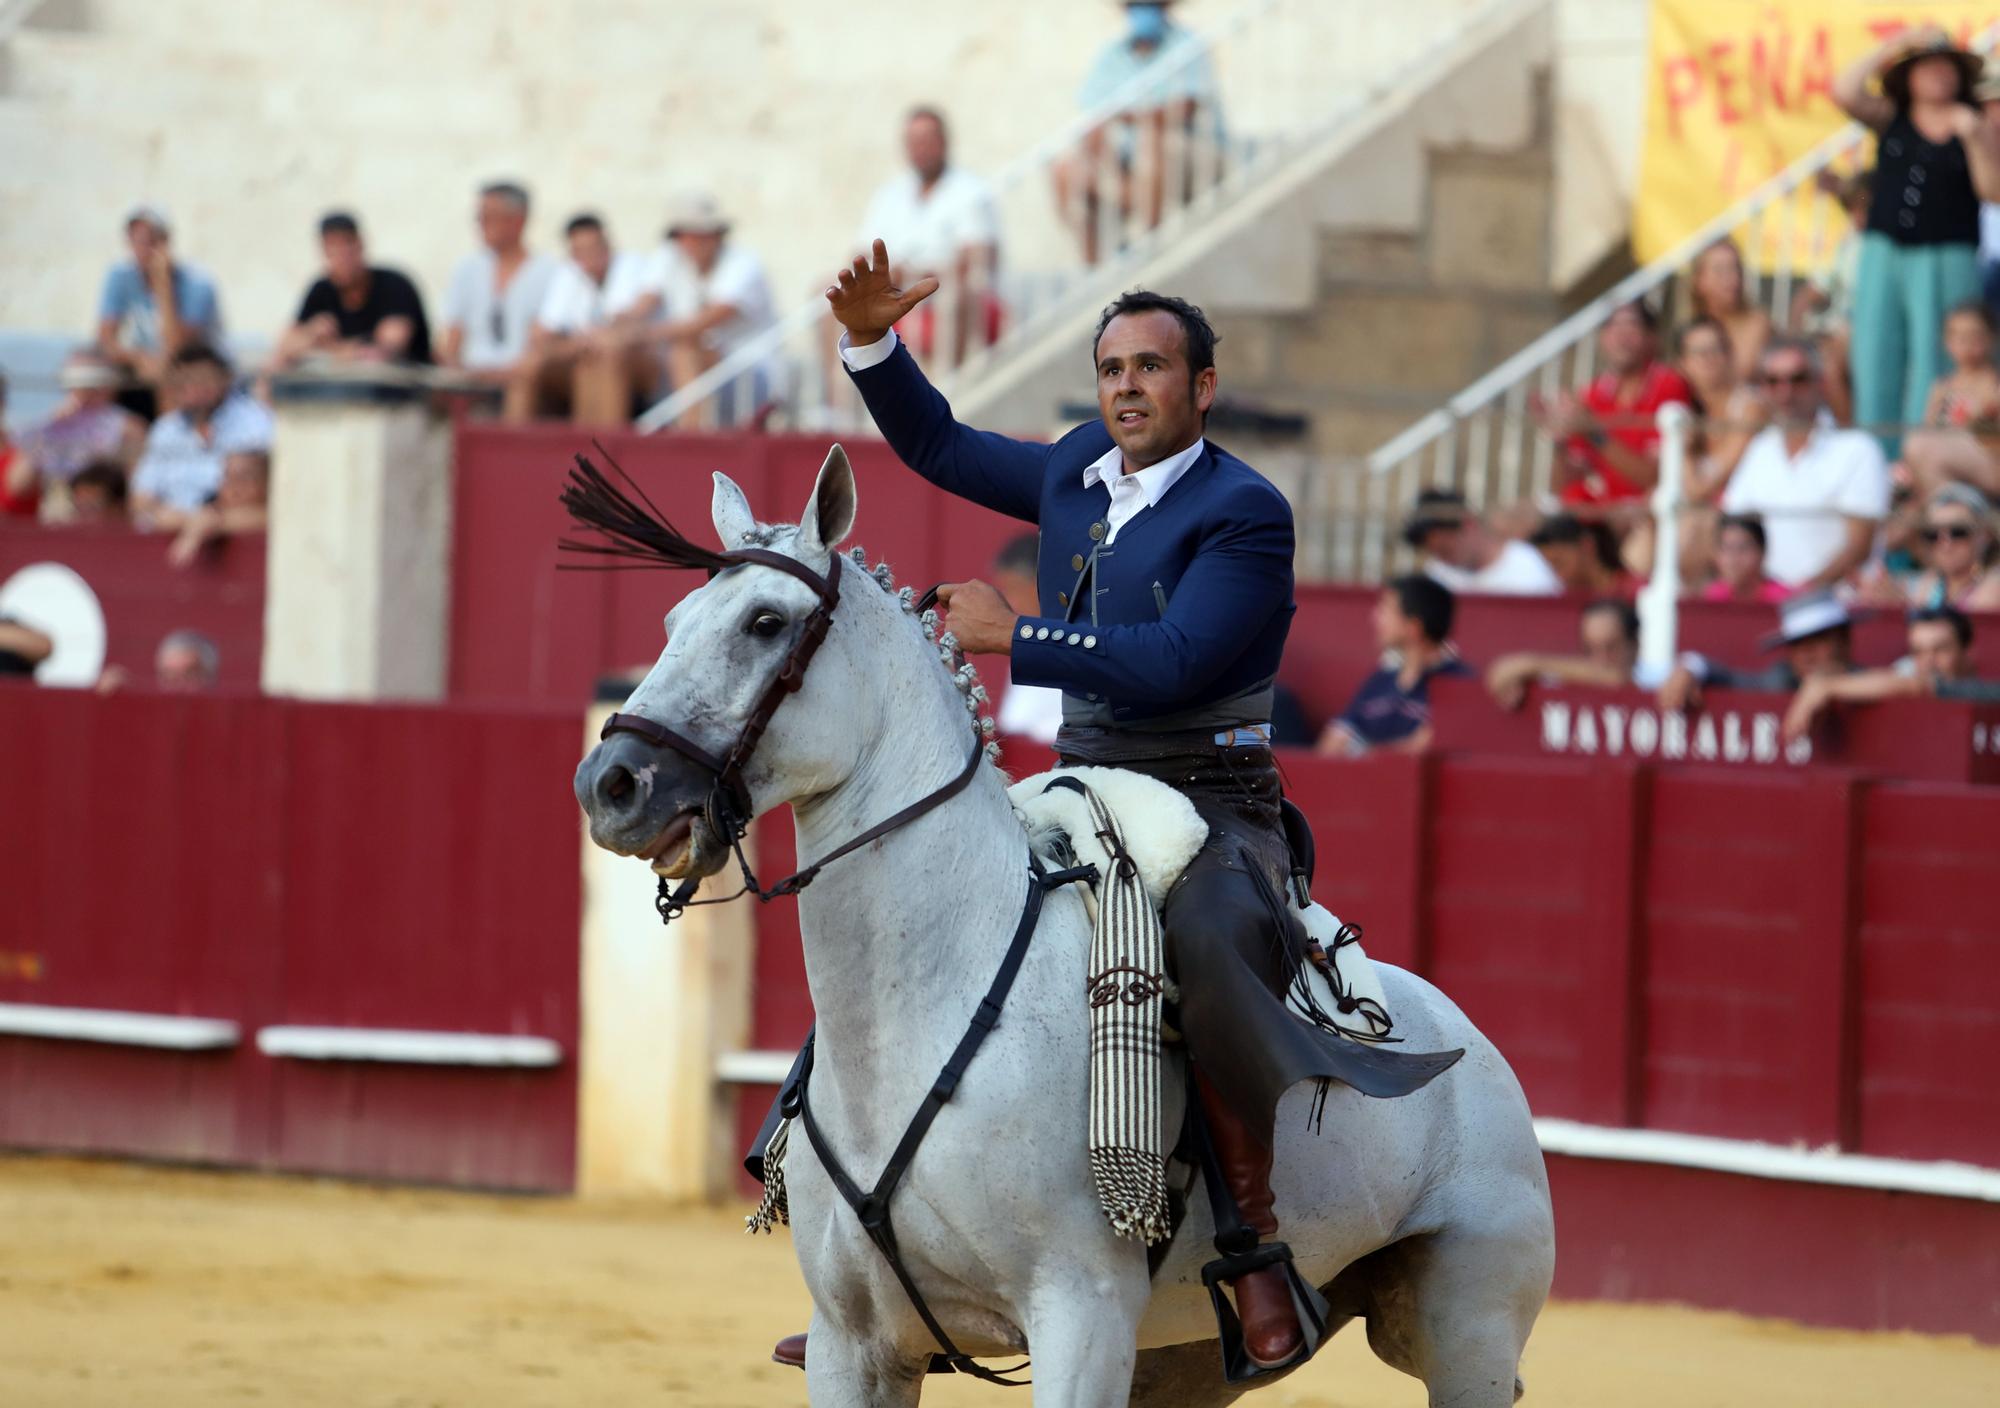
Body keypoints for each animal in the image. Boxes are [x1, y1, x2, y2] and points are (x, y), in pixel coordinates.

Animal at [572, 454, 1552, 1408]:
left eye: (767, 622)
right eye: (674, 618)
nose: (611, 784)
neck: (912, 1019)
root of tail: (1468, 1038)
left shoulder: (1081, 1317)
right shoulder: (850, 1344)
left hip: (1468, 1329)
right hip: (1188, 1361)